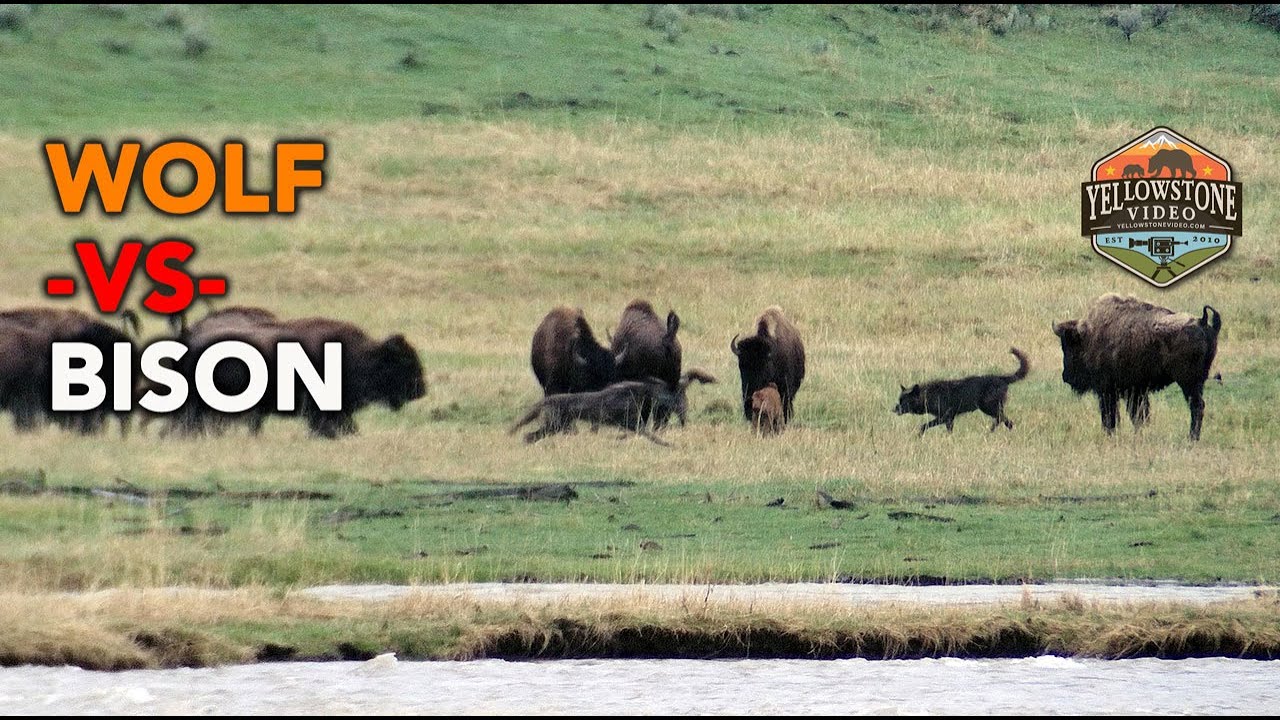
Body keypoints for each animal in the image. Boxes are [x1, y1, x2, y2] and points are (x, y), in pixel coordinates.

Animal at [1053, 294, 1221, 440]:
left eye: (1068, 347)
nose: (1065, 377)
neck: (1090, 335)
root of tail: (1202, 322)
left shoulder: (1108, 391)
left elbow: (1111, 416)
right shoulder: (1136, 391)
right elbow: (1138, 415)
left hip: (1188, 382)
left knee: (1197, 406)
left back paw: (1192, 438)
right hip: (1197, 382)